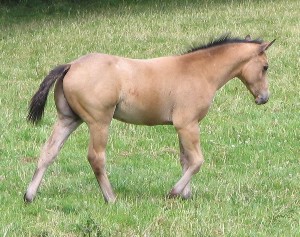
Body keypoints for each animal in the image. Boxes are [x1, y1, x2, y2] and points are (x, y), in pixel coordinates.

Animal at [24, 34, 276, 203]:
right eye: (265, 67)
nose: (264, 98)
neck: (199, 71)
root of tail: (71, 65)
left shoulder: (181, 127)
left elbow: (185, 159)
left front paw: (185, 195)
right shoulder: (188, 125)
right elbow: (196, 160)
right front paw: (174, 192)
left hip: (68, 119)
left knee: (48, 152)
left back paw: (29, 195)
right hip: (99, 123)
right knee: (96, 157)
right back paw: (111, 197)